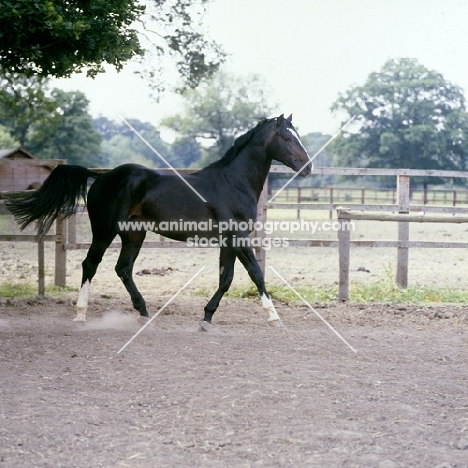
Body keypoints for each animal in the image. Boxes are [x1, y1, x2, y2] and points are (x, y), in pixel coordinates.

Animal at [6, 115, 310, 328]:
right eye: (286, 137)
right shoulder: (238, 237)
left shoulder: (229, 241)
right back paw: (81, 316)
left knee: (123, 269)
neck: (233, 182)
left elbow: (226, 278)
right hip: (104, 231)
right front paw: (274, 318)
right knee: (90, 264)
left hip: (133, 234)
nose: (308, 167)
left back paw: (143, 313)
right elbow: (256, 274)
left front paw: (206, 318)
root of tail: (101, 176)